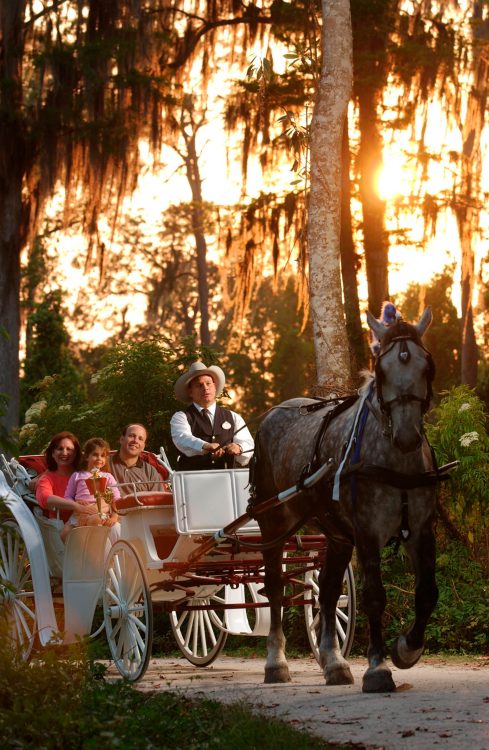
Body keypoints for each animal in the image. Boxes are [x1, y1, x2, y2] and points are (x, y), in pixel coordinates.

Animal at [252, 310, 438, 692]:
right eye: (381, 371)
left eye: (427, 366)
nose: (407, 436)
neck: (396, 464)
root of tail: (274, 412)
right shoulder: (367, 532)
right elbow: (374, 596)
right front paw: (378, 668)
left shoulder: (421, 529)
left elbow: (427, 592)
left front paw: (406, 649)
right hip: (272, 524)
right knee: (275, 588)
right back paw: (276, 662)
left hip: (336, 534)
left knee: (326, 590)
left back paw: (334, 662)